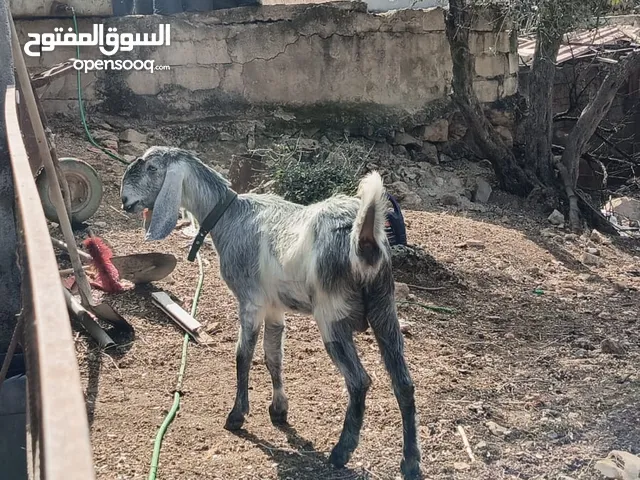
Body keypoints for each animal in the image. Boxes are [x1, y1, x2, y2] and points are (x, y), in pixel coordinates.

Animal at [121, 147, 420, 480]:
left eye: (151, 167)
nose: (125, 201)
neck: (229, 215)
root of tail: (364, 241)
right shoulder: (275, 308)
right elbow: (272, 355)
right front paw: (278, 410)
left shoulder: (250, 301)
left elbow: (243, 355)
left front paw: (237, 416)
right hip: (385, 310)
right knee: (404, 383)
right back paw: (410, 463)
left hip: (332, 316)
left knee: (359, 381)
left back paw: (341, 451)